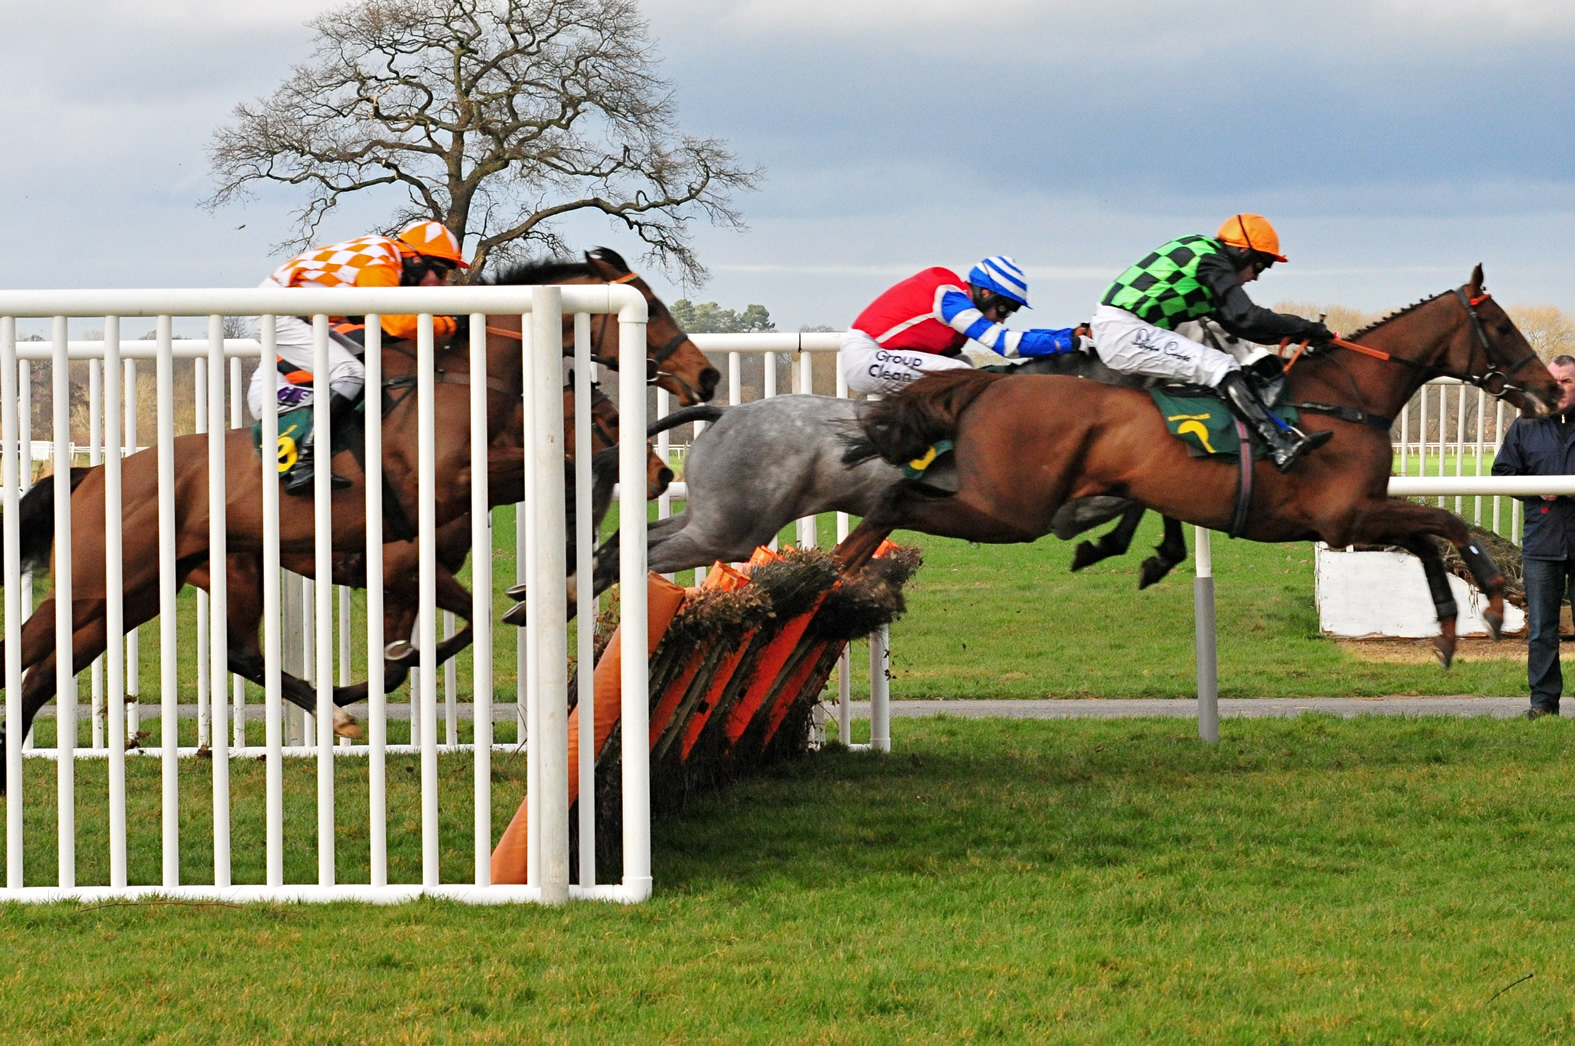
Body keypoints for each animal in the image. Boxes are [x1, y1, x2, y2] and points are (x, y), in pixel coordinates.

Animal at [844, 266, 1556, 664]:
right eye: (1501, 326)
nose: (1551, 390)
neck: (1344, 397)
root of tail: (988, 385)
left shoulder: (1355, 518)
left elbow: (1432, 540)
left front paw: (1448, 632)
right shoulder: (1345, 517)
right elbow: (1448, 526)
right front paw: (1496, 604)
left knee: (893, 502)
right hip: (1011, 509)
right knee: (895, 502)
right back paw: (840, 576)